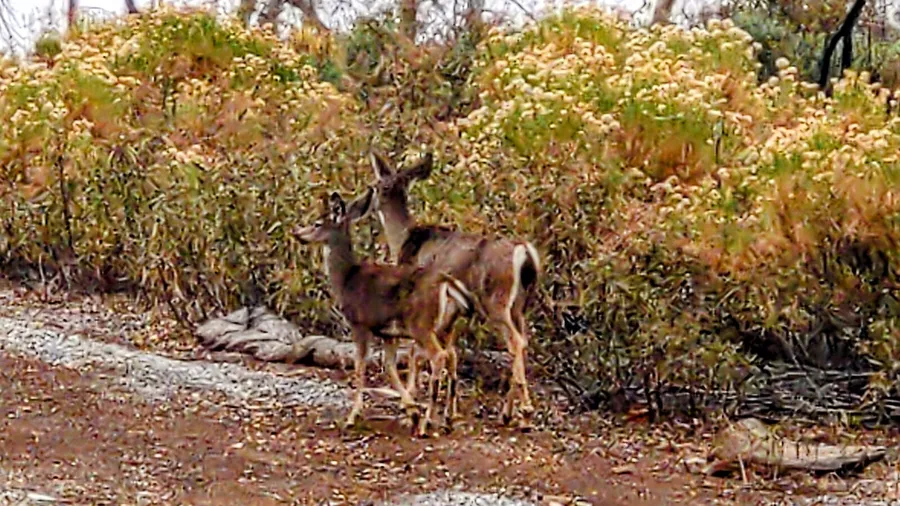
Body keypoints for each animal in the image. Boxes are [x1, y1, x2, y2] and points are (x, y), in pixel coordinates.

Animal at [293, 188, 477, 436]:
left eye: (317, 223)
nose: (297, 233)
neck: (346, 280)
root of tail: (447, 284)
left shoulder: (359, 323)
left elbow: (360, 366)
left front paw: (352, 417)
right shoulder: (389, 333)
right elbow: (389, 367)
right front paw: (411, 410)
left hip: (421, 325)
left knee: (439, 356)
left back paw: (427, 424)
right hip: (446, 326)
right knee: (453, 356)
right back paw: (446, 420)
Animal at [367, 150, 542, 428]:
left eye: (375, 185)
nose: (366, 203)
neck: (404, 240)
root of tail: (525, 252)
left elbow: (416, 352)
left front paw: (413, 405)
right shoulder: (451, 311)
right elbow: (451, 353)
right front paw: (449, 411)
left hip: (496, 301)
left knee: (516, 342)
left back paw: (523, 411)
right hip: (520, 306)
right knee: (522, 341)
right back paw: (507, 412)